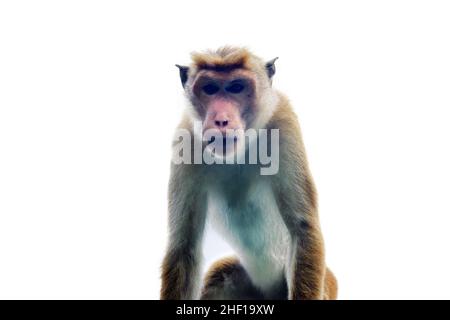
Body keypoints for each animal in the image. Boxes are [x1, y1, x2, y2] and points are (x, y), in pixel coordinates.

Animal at [162, 45, 338, 300]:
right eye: (210, 89)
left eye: (236, 87)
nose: (221, 120)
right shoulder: (185, 140)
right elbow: (184, 247)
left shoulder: (284, 122)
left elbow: (302, 228)